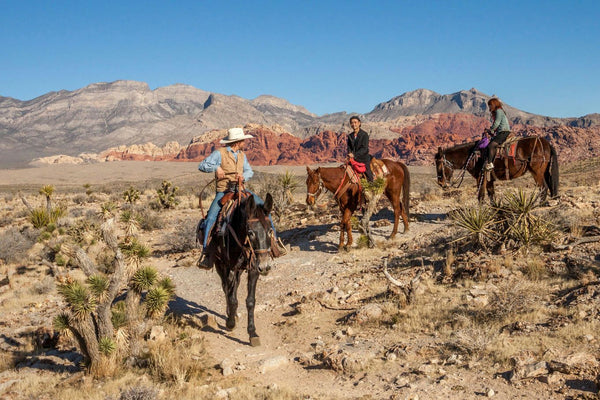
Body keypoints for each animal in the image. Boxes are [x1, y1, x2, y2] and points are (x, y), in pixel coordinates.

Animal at [205, 192, 274, 346]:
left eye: (269, 231)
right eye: (251, 232)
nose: (265, 266)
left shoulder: (253, 269)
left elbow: (250, 301)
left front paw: (252, 333)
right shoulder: (226, 267)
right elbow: (231, 297)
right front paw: (230, 323)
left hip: (239, 269)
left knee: (234, 286)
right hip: (221, 266)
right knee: (226, 289)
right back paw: (231, 316)